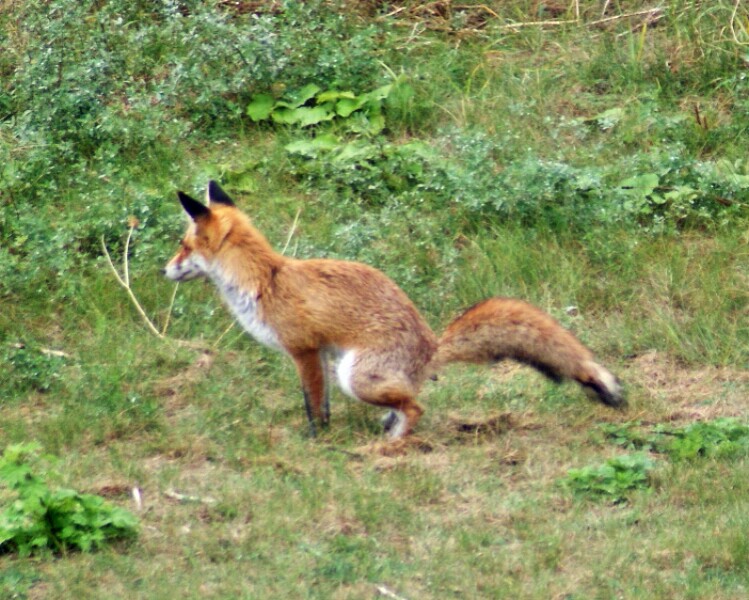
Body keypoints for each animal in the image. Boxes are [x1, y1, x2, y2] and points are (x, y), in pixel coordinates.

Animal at [164, 180, 624, 438]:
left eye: (183, 246)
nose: (163, 269)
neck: (265, 281)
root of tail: (431, 344)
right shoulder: (318, 356)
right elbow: (321, 405)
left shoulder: (305, 351)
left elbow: (314, 407)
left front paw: (316, 443)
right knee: (407, 403)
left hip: (354, 377)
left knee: (416, 407)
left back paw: (394, 446)